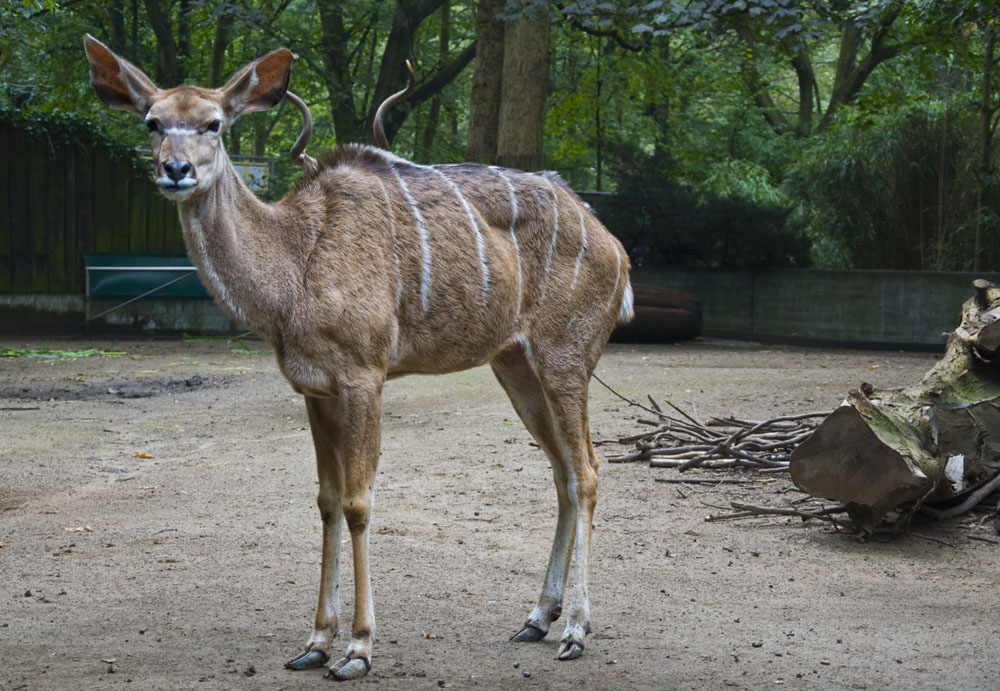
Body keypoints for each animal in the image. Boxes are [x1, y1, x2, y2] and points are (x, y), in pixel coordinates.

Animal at [86, 33, 632, 680]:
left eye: (214, 123)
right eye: (152, 122)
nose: (175, 170)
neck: (294, 267)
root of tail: (619, 252)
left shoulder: (364, 375)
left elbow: (358, 501)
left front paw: (358, 649)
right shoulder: (314, 387)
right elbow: (325, 501)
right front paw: (315, 642)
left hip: (565, 357)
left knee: (589, 469)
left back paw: (575, 628)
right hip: (514, 364)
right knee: (562, 471)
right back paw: (536, 618)